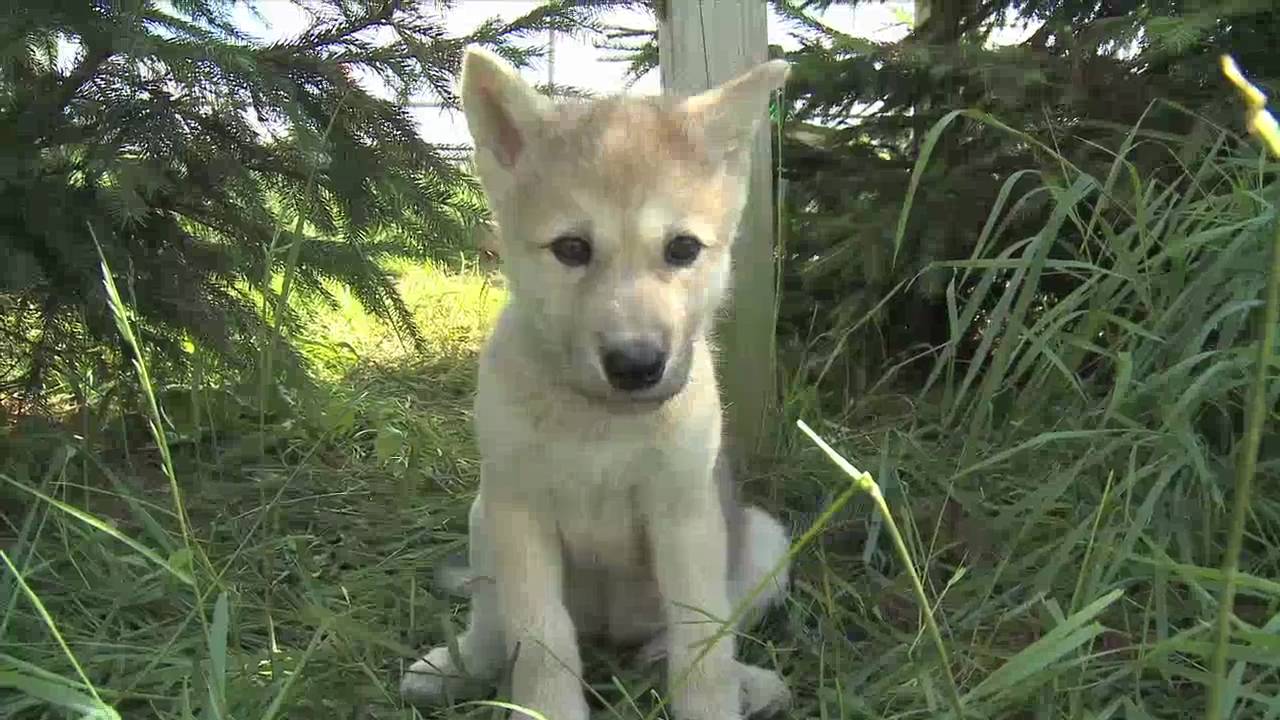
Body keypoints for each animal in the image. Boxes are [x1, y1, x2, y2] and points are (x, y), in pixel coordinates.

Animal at [399, 46, 793, 720]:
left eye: (682, 249)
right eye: (571, 248)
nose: (636, 365)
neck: (600, 423)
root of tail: (612, 634)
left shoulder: (683, 513)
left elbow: (702, 642)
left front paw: (715, 696)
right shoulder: (519, 511)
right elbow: (539, 639)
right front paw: (543, 705)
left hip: (763, 540)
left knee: (697, 634)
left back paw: (740, 682)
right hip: (483, 518)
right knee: (492, 624)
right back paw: (458, 664)